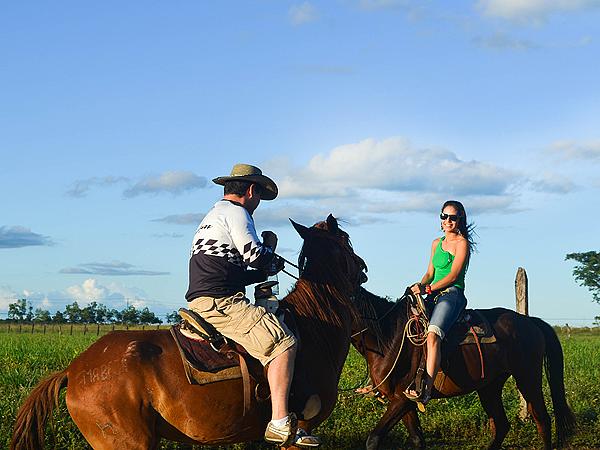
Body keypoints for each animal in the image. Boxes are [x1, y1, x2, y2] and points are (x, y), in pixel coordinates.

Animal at [352, 288, 576, 450]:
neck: (388, 335)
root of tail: (530, 321)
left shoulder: (402, 399)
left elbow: (373, 439)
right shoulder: (402, 400)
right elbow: (417, 440)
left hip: (527, 378)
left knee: (542, 420)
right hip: (489, 387)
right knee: (502, 424)